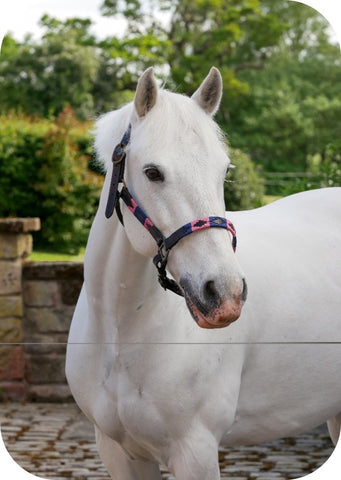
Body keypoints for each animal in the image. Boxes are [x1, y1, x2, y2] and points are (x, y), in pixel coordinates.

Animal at [65, 67, 340, 480]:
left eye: (224, 170)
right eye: (152, 172)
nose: (224, 294)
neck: (121, 331)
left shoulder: (195, 450)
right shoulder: (119, 452)